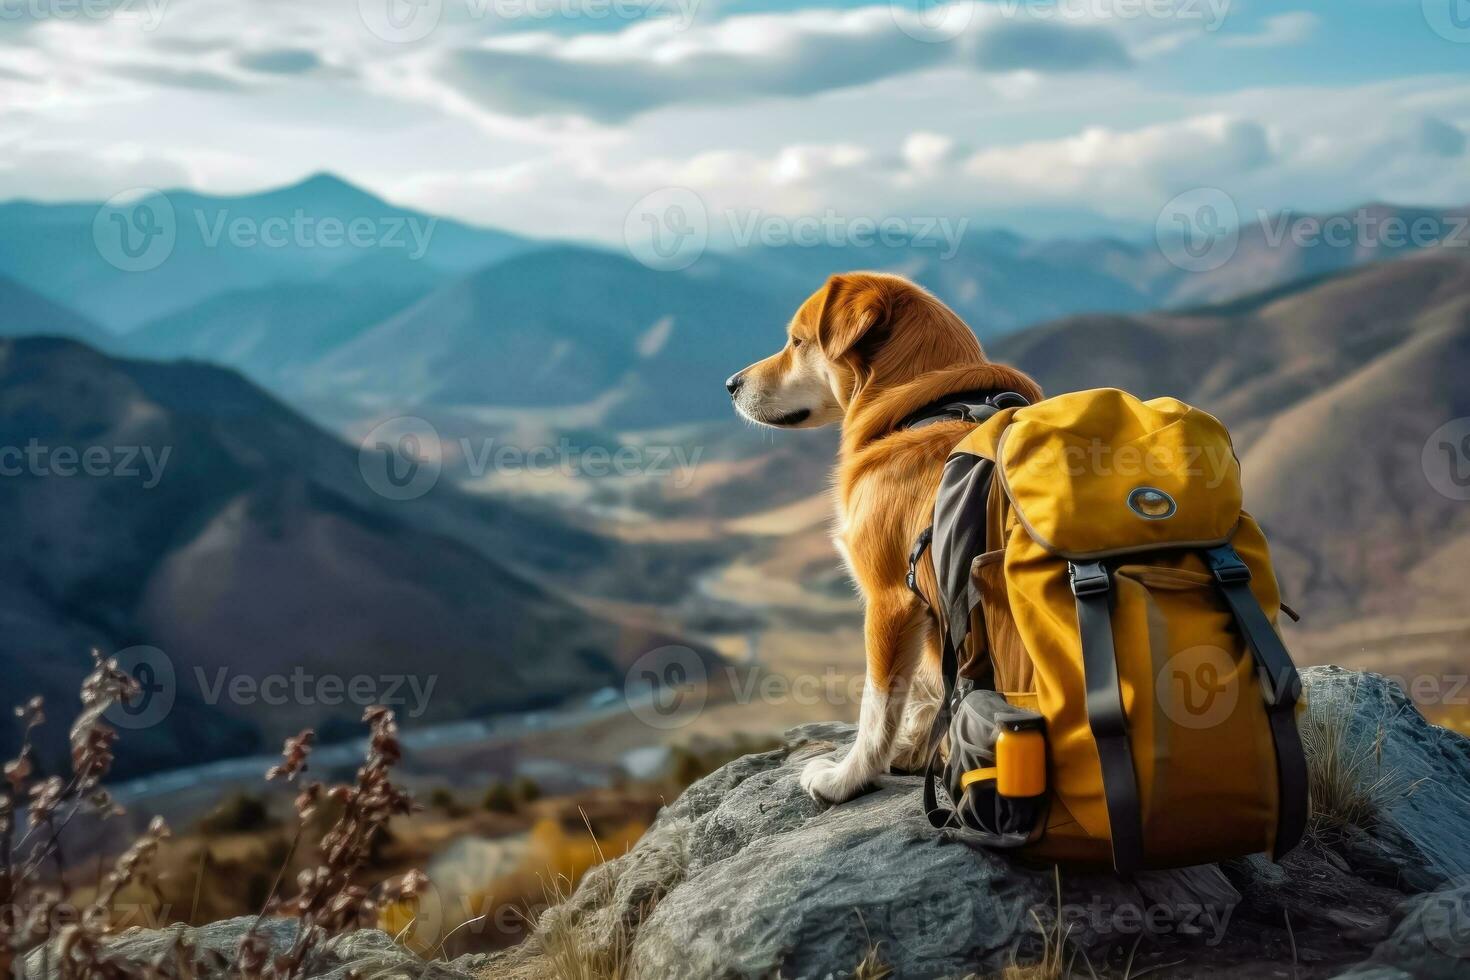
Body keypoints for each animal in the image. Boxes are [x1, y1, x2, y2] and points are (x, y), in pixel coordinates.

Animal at [729, 270, 1040, 805]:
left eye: (797, 341)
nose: (730, 384)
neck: (923, 406)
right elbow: (924, 691)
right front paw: (917, 749)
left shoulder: (891, 598)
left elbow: (878, 705)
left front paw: (847, 778)